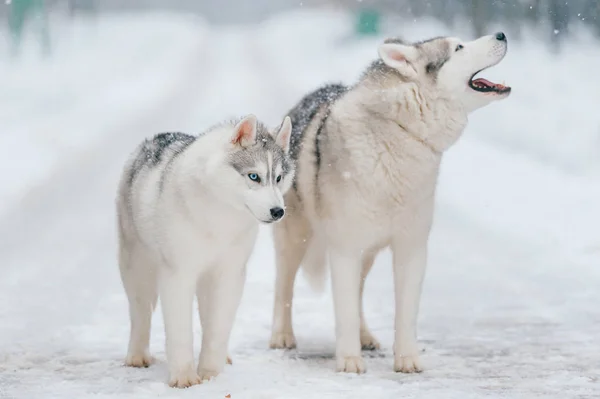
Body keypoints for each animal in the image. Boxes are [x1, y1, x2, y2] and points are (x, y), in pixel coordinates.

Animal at [116, 114, 294, 390]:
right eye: (254, 176)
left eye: (278, 178)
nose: (278, 212)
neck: (220, 213)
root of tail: (155, 138)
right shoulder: (178, 275)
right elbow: (180, 332)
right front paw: (184, 378)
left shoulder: (229, 274)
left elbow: (217, 329)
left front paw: (211, 375)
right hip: (136, 268)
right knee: (140, 313)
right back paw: (137, 356)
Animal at [270, 32, 510, 374]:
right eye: (458, 47)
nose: (501, 34)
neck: (399, 131)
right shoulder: (343, 249)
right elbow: (343, 311)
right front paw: (349, 361)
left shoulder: (412, 248)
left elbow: (405, 314)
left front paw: (407, 359)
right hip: (296, 239)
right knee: (284, 287)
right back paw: (282, 335)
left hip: (367, 254)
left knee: (357, 295)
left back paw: (365, 336)